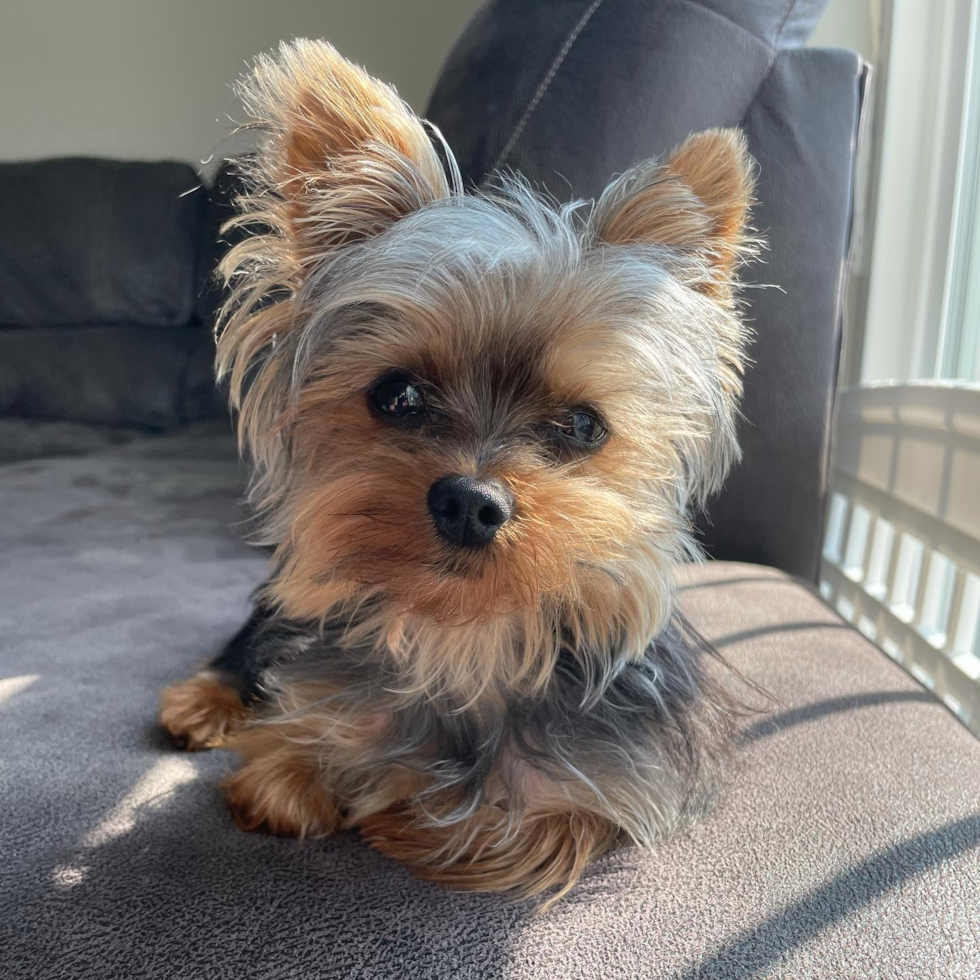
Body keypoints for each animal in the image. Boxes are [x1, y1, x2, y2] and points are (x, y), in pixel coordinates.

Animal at [161, 40, 756, 912]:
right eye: (397, 395)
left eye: (583, 425)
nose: (471, 502)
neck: (464, 636)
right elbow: (282, 769)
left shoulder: (613, 787)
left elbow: (514, 826)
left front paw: (403, 807)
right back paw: (200, 702)